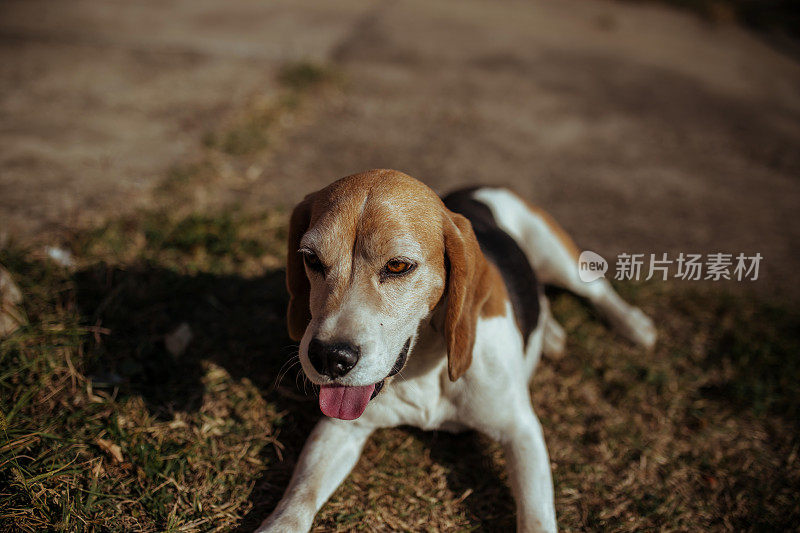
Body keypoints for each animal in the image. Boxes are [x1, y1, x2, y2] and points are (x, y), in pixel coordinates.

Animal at [258, 168, 656, 528]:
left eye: (398, 266)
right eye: (311, 259)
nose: (329, 357)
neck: (425, 366)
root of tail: (475, 187)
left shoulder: (521, 430)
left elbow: (536, 516)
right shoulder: (341, 429)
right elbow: (299, 498)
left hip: (558, 257)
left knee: (597, 287)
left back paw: (635, 326)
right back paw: (551, 333)